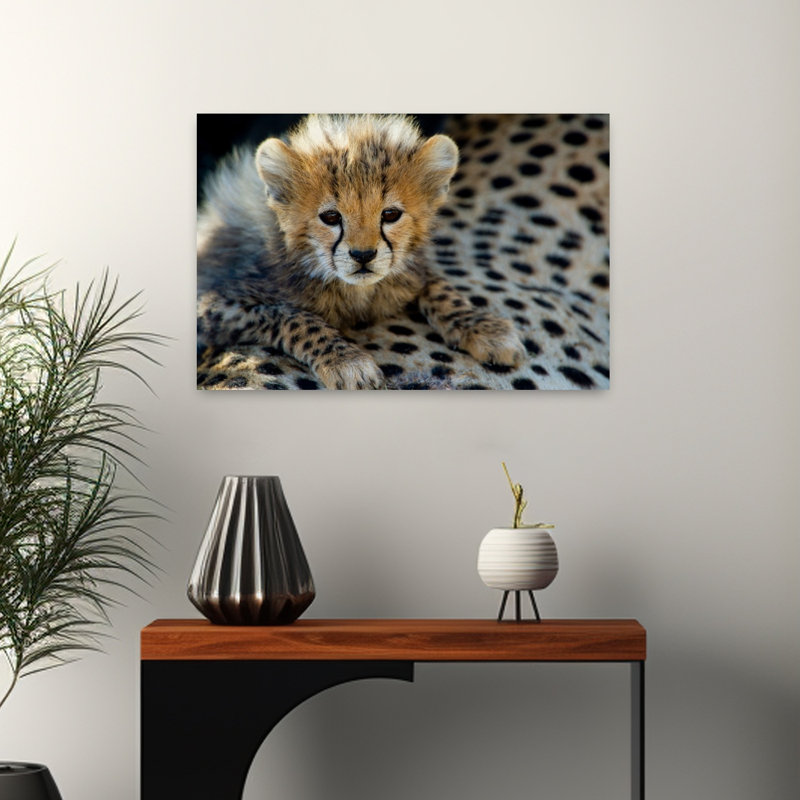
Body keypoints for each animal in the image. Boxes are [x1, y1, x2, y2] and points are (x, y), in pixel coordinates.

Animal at [197, 114, 610, 390]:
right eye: (330, 217)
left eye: (390, 214)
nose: (363, 255)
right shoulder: (214, 305)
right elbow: (291, 316)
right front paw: (347, 361)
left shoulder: (410, 271)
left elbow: (436, 285)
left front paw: (483, 327)